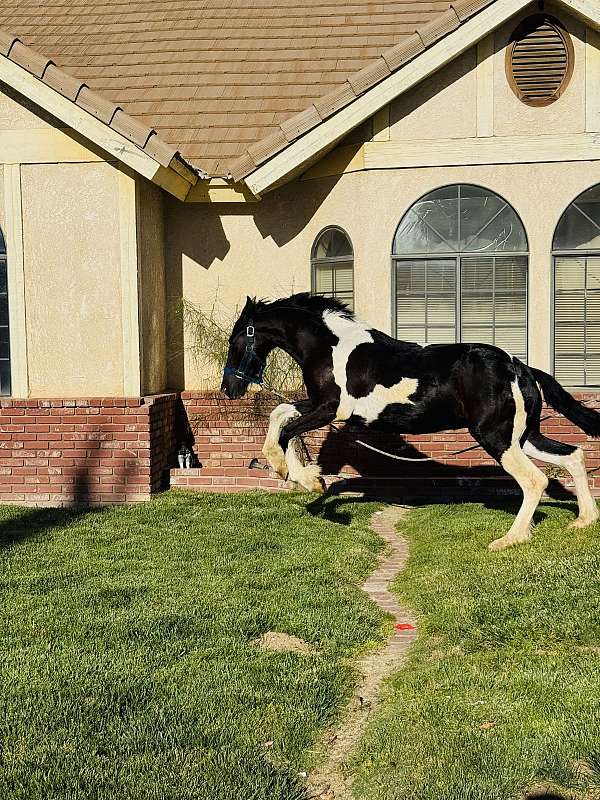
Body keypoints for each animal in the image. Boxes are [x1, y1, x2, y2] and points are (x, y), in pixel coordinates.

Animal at [221, 293, 600, 550]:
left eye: (236, 339)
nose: (228, 389)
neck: (331, 348)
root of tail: (518, 366)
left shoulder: (329, 409)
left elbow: (287, 430)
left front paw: (303, 477)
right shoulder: (320, 406)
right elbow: (281, 413)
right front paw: (298, 473)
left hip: (496, 438)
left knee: (535, 480)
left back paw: (509, 539)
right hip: (522, 437)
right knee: (572, 456)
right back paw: (583, 521)